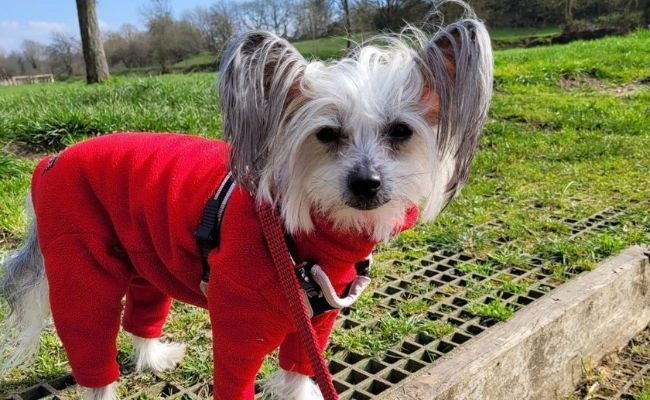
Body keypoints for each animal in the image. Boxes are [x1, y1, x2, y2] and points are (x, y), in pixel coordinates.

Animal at [0, 1, 486, 398]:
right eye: (327, 134)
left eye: (400, 131)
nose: (367, 182)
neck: (300, 243)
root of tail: (49, 163)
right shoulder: (240, 326)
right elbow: (236, 379)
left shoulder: (314, 323)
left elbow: (298, 372)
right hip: (82, 269)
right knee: (92, 347)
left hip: (146, 259)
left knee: (139, 315)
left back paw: (154, 358)